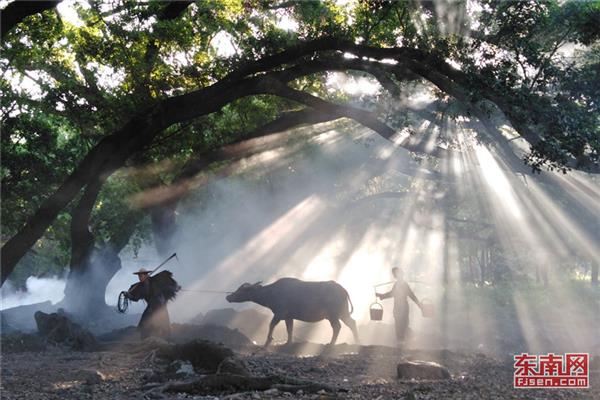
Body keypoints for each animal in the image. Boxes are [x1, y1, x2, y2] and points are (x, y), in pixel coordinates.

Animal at [224, 278, 356, 346]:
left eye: (242, 290)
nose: (228, 297)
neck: (270, 294)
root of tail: (343, 289)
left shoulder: (279, 313)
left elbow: (271, 325)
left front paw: (269, 339)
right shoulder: (289, 317)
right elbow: (289, 329)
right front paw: (288, 342)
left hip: (334, 315)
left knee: (337, 327)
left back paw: (331, 343)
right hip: (342, 313)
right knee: (352, 323)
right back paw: (357, 341)